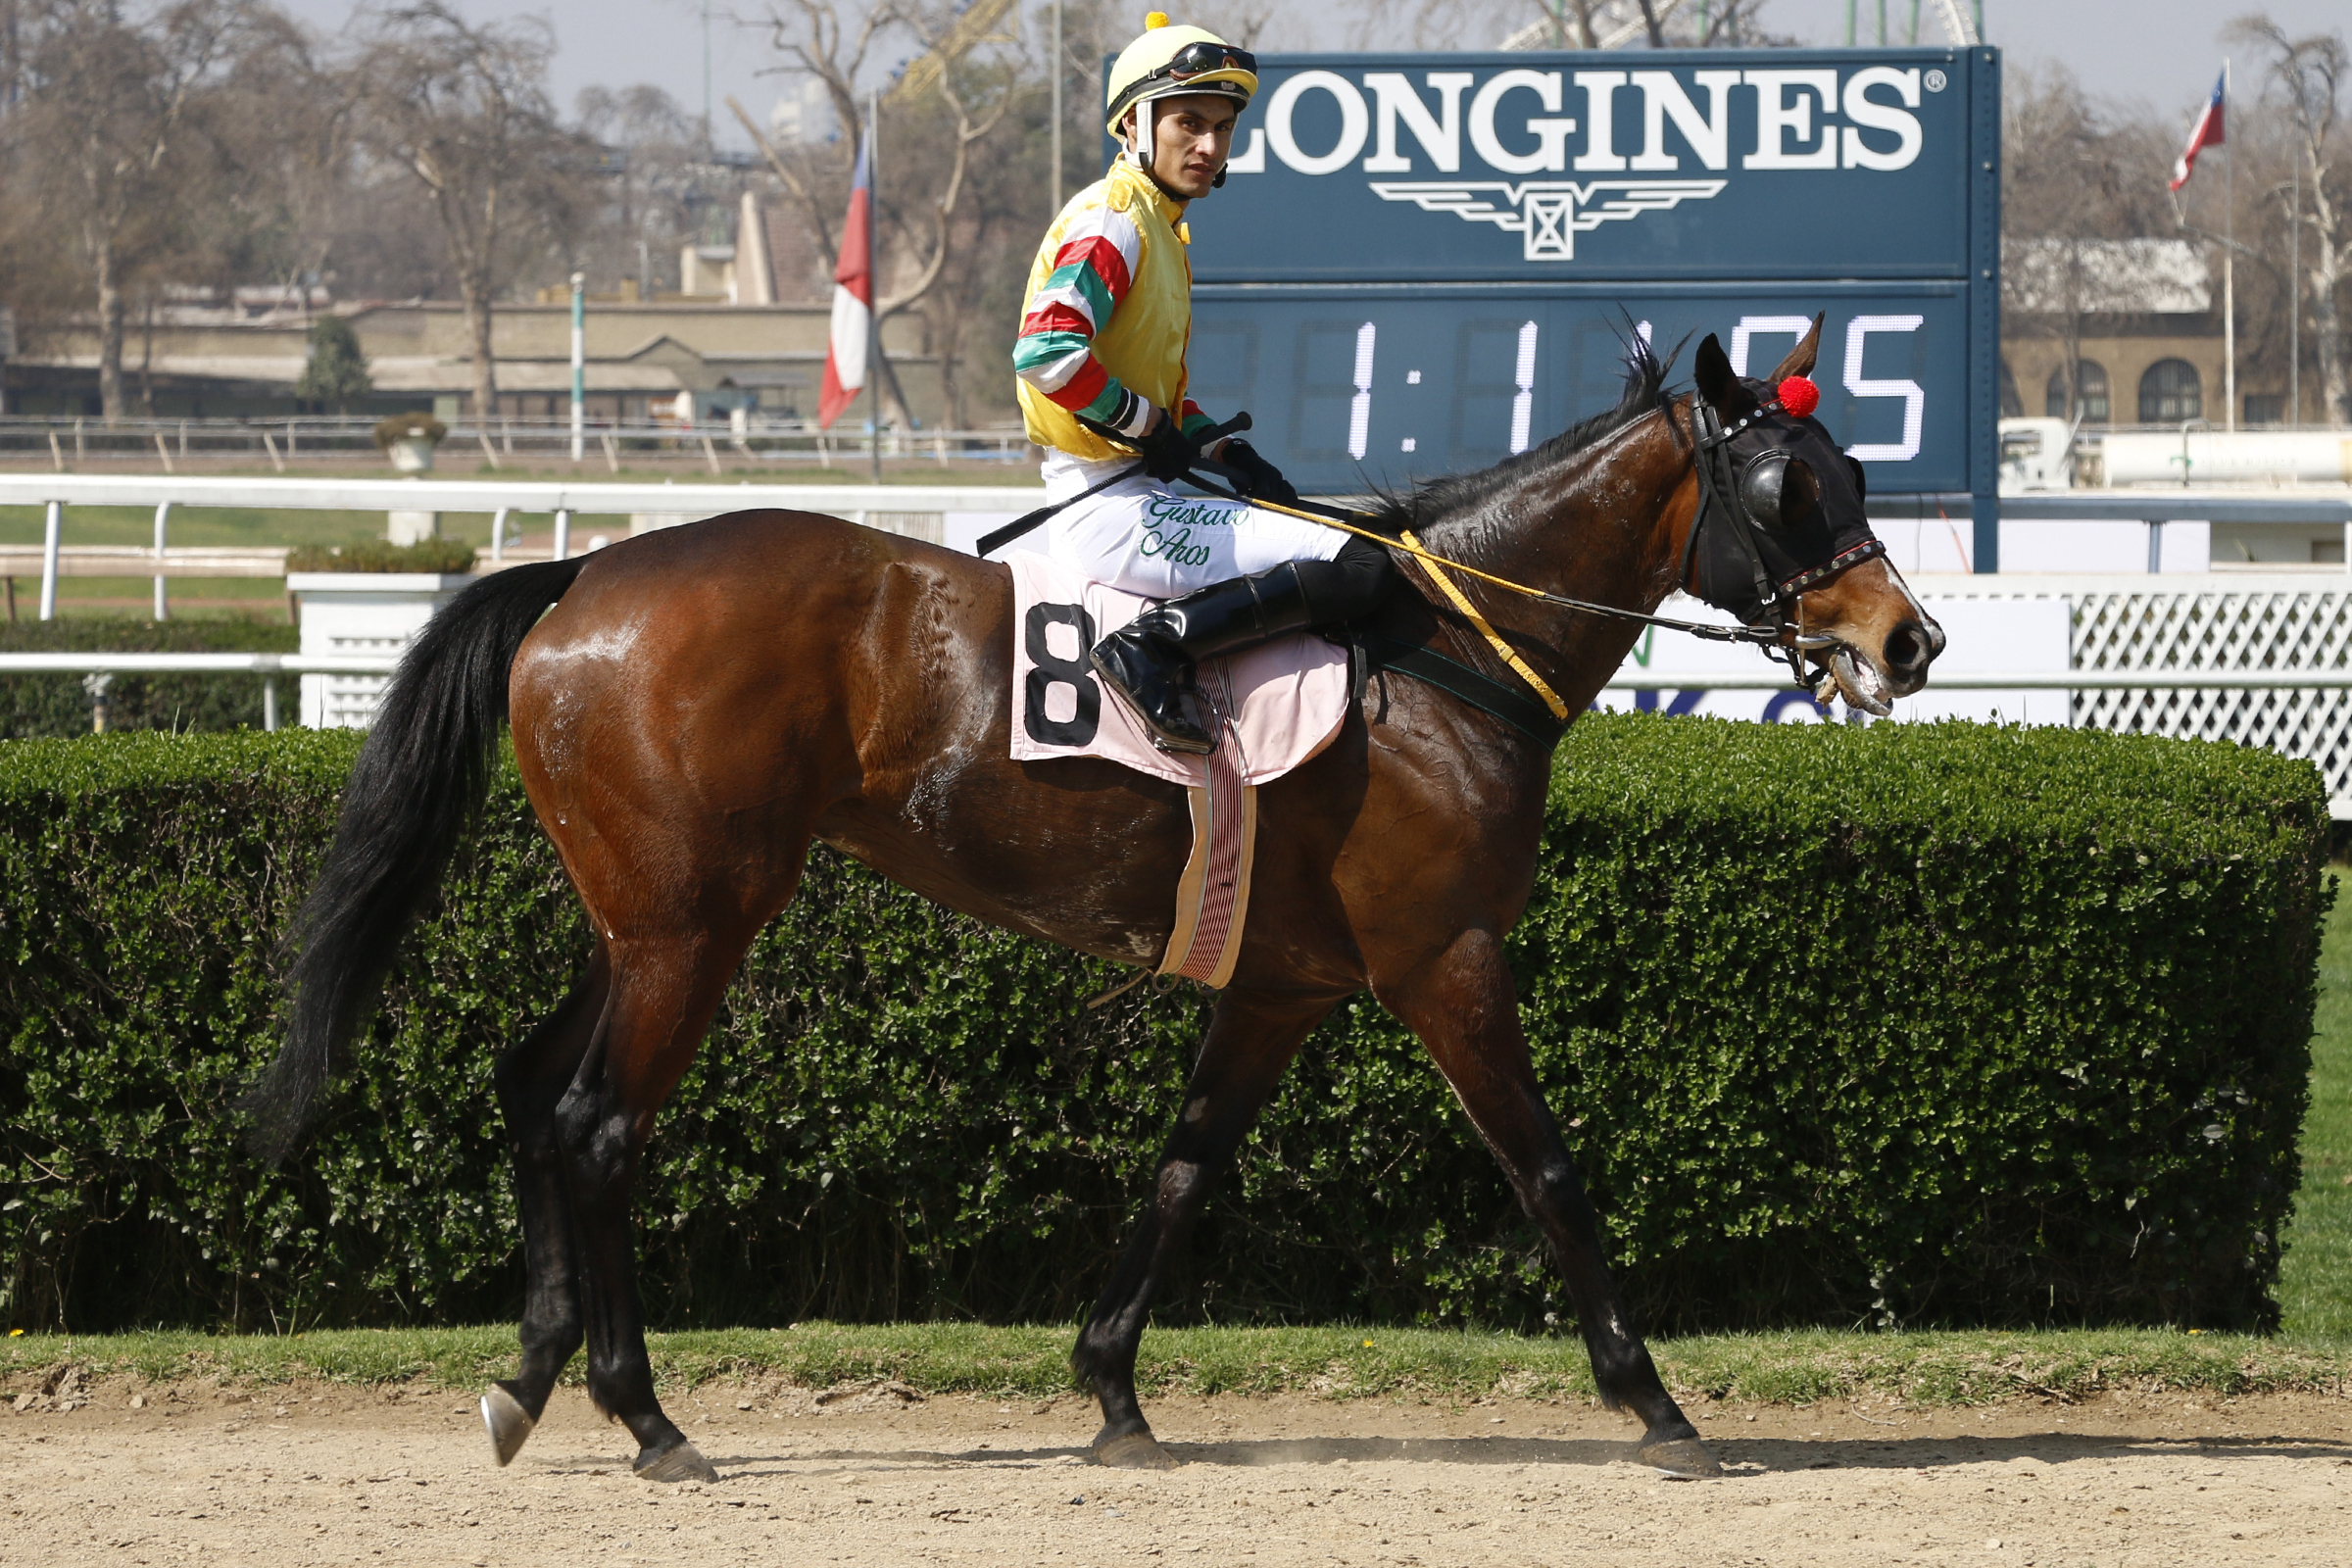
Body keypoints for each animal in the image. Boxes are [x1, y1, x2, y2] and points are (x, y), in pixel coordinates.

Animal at [244, 319, 1943, 1483]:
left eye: (1855, 471)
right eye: (1787, 487)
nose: (1908, 638)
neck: (1444, 649)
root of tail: (585, 580)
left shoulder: (1284, 985)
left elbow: (1185, 1172)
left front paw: (1113, 1385)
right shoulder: (1443, 960)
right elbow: (1550, 1173)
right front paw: (1655, 1398)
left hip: (649, 917)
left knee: (535, 1090)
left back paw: (531, 1378)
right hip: (695, 926)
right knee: (599, 1124)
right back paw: (646, 1415)